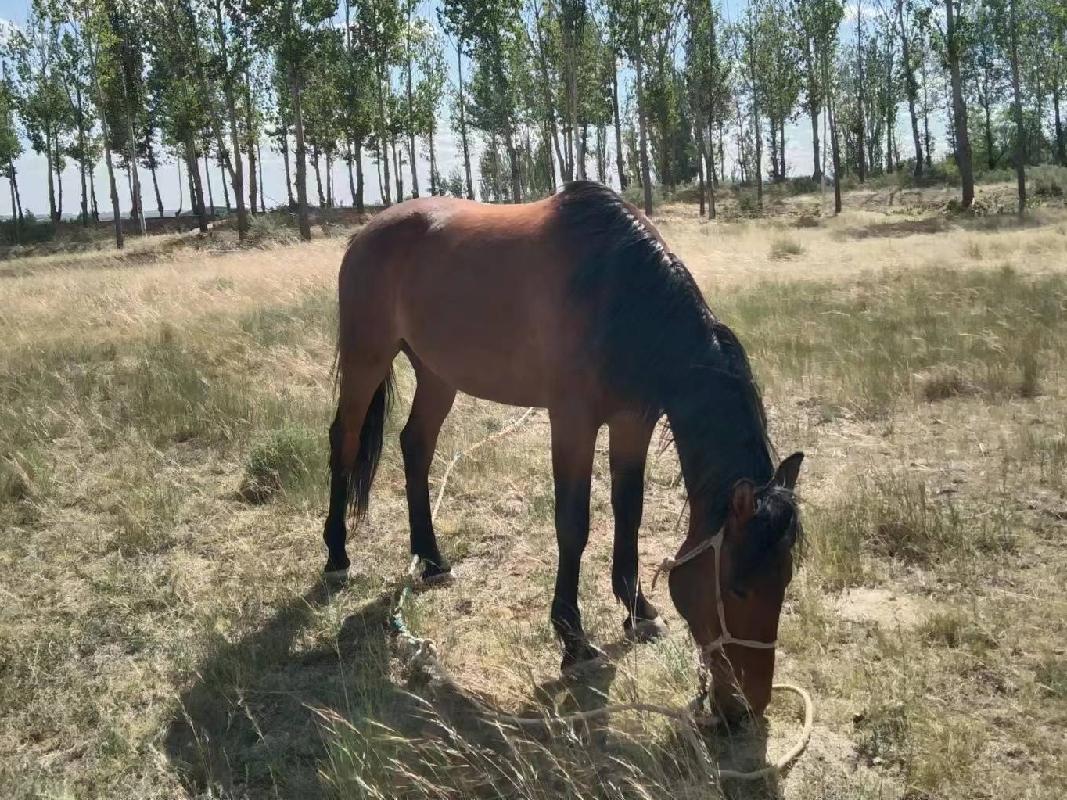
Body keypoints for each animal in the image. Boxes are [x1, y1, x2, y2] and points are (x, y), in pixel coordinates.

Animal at [322, 181, 804, 719]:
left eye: (785, 581)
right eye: (737, 587)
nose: (745, 708)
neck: (617, 290)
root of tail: (367, 232)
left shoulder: (632, 421)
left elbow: (629, 512)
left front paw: (637, 610)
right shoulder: (572, 422)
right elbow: (573, 525)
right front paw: (573, 639)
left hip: (436, 372)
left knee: (416, 446)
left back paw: (430, 558)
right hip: (367, 357)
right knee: (344, 442)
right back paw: (337, 555)